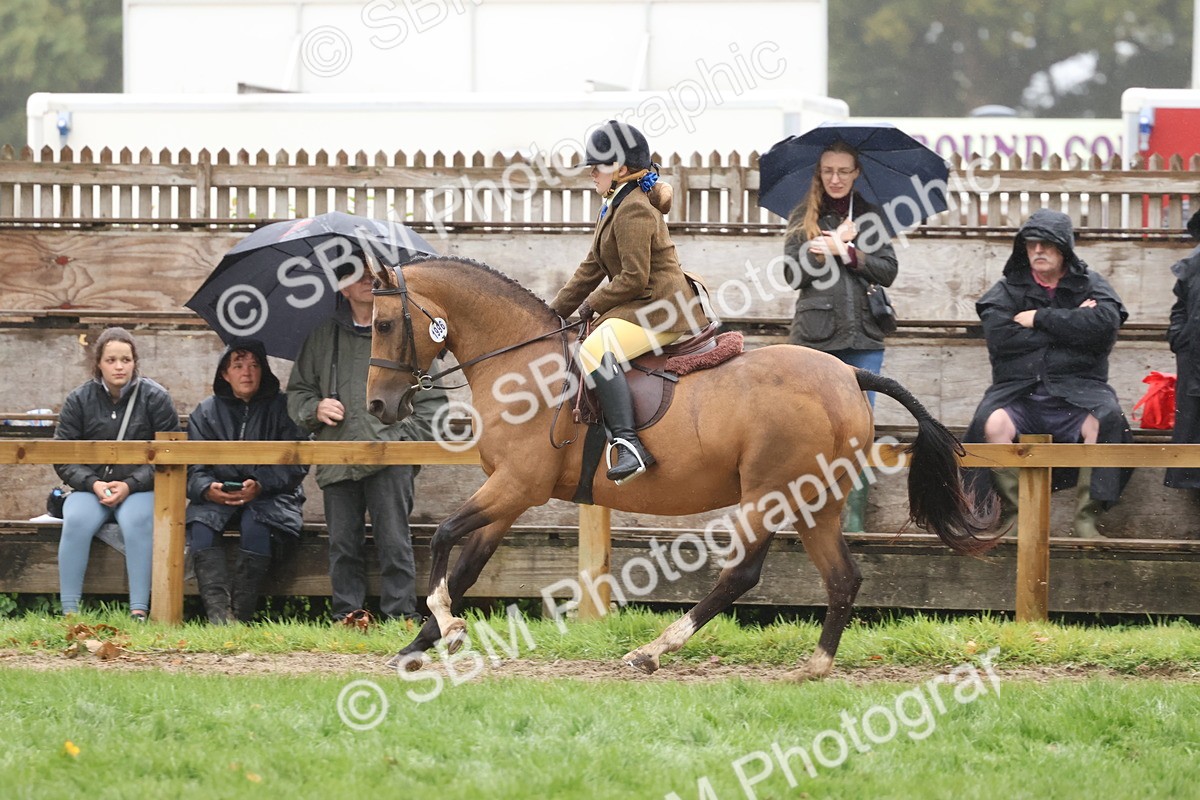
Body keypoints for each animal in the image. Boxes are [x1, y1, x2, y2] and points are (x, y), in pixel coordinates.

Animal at [365, 255, 998, 679]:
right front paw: (419, 645)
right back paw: (814, 667)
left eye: (383, 324)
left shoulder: (516, 486)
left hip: (770, 495)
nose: (377, 407)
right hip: (814, 501)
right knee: (842, 577)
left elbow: (443, 537)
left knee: (741, 576)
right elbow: (467, 564)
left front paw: (445, 626)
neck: (524, 366)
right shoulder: (509, 494)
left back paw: (652, 651)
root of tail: (848, 373)